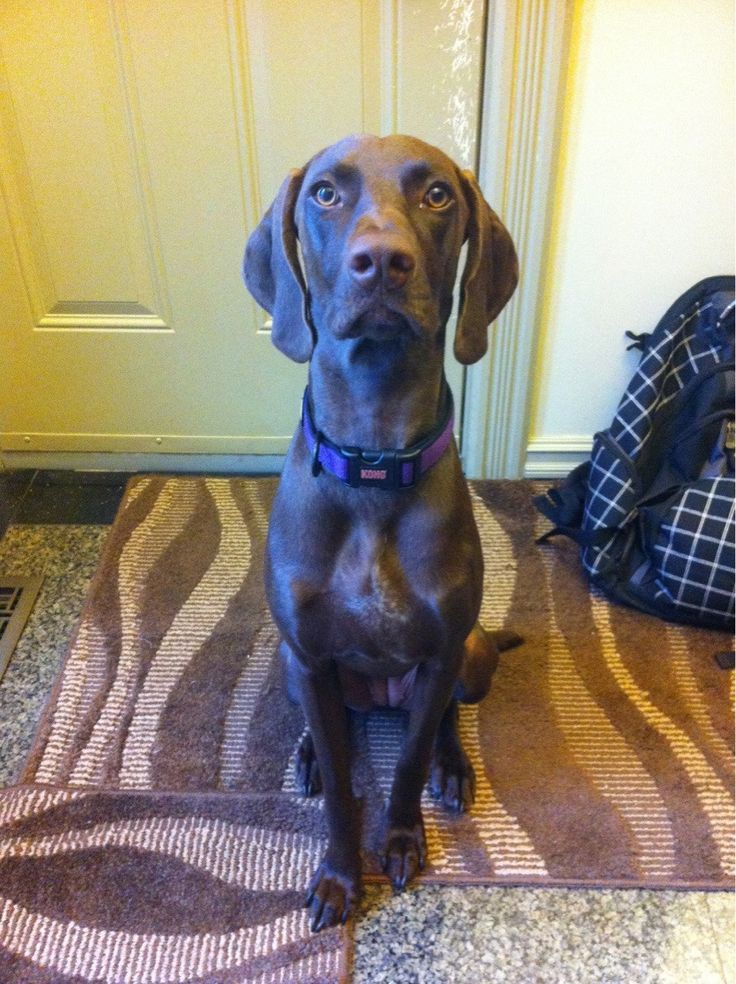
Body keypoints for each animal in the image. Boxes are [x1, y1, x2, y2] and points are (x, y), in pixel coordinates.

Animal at [243, 133, 516, 932]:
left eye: (438, 195)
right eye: (326, 194)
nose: (383, 261)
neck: (373, 461)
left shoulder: (439, 653)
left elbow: (408, 764)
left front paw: (399, 840)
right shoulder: (307, 653)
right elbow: (342, 788)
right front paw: (339, 874)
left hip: (471, 654)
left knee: (447, 718)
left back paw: (453, 768)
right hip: (289, 661)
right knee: (328, 719)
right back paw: (307, 750)